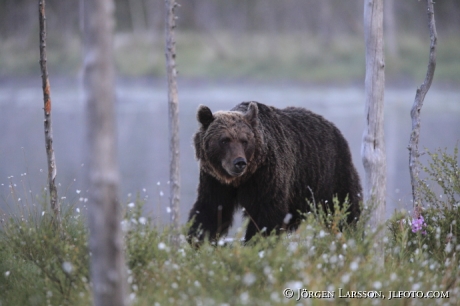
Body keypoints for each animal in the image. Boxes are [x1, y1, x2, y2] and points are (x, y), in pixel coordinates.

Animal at [186, 101, 360, 245]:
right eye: (224, 140)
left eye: (244, 140)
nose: (239, 162)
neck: (241, 179)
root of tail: (333, 127)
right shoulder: (215, 180)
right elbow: (210, 209)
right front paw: (197, 240)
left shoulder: (265, 176)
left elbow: (266, 213)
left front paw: (257, 241)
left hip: (332, 174)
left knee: (345, 206)